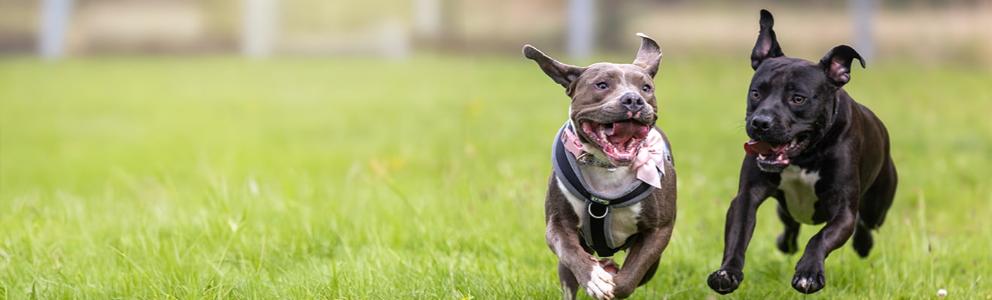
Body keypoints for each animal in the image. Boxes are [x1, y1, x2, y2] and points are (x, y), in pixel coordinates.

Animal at [704, 9, 900, 296]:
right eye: (756, 93)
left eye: (798, 98)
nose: (760, 122)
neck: (804, 156)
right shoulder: (747, 197)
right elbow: (738, 236)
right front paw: (727, 272)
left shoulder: (843, 210)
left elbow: (820, 238)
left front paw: (808, 274)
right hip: (786, 208)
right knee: (791, 227)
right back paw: (785, 242)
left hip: (878, 205)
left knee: (865, 224)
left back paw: (862, 245)